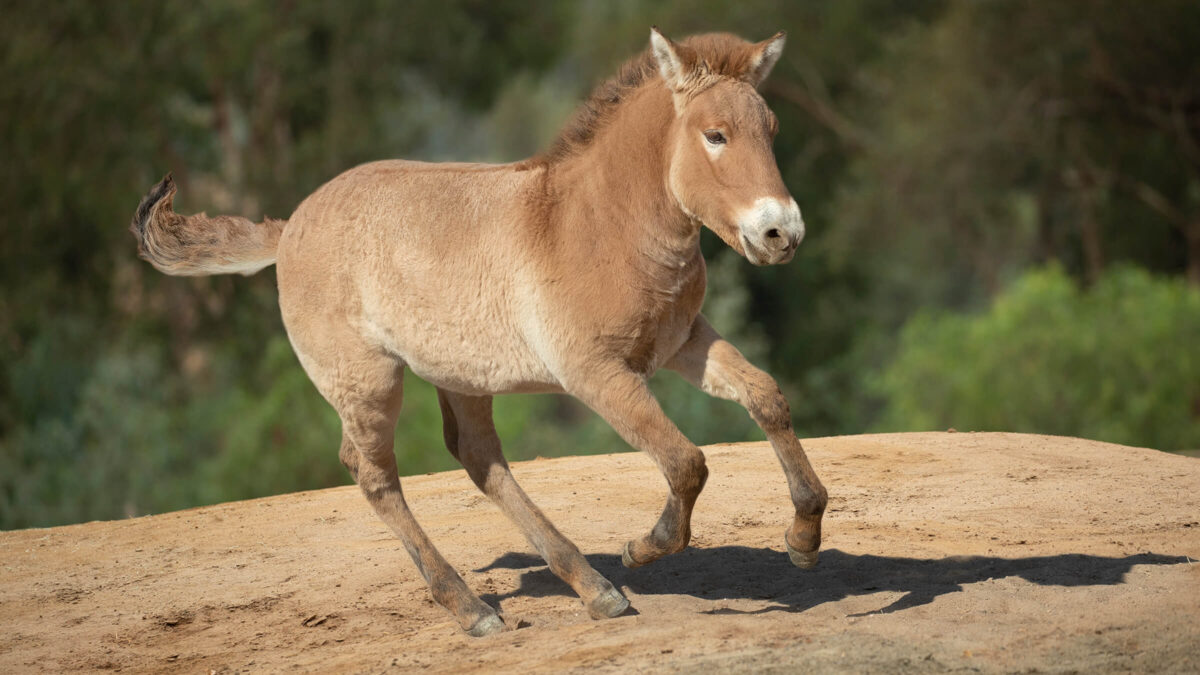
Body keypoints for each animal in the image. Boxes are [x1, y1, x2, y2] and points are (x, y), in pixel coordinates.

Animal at [130, 28, 827, 636]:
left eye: (771, 131)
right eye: (716, 135)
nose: (782, 234)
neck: (600, 225)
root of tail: (290, 227)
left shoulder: (682, 343)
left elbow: (766, 397)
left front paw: (804, 538)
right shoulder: (598, 375)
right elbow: (686, 462)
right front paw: (643, 547)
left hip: (460, 377)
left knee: (478, 459)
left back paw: (594, 590)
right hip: (369, 382)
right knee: (374, 473)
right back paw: (473, 610)